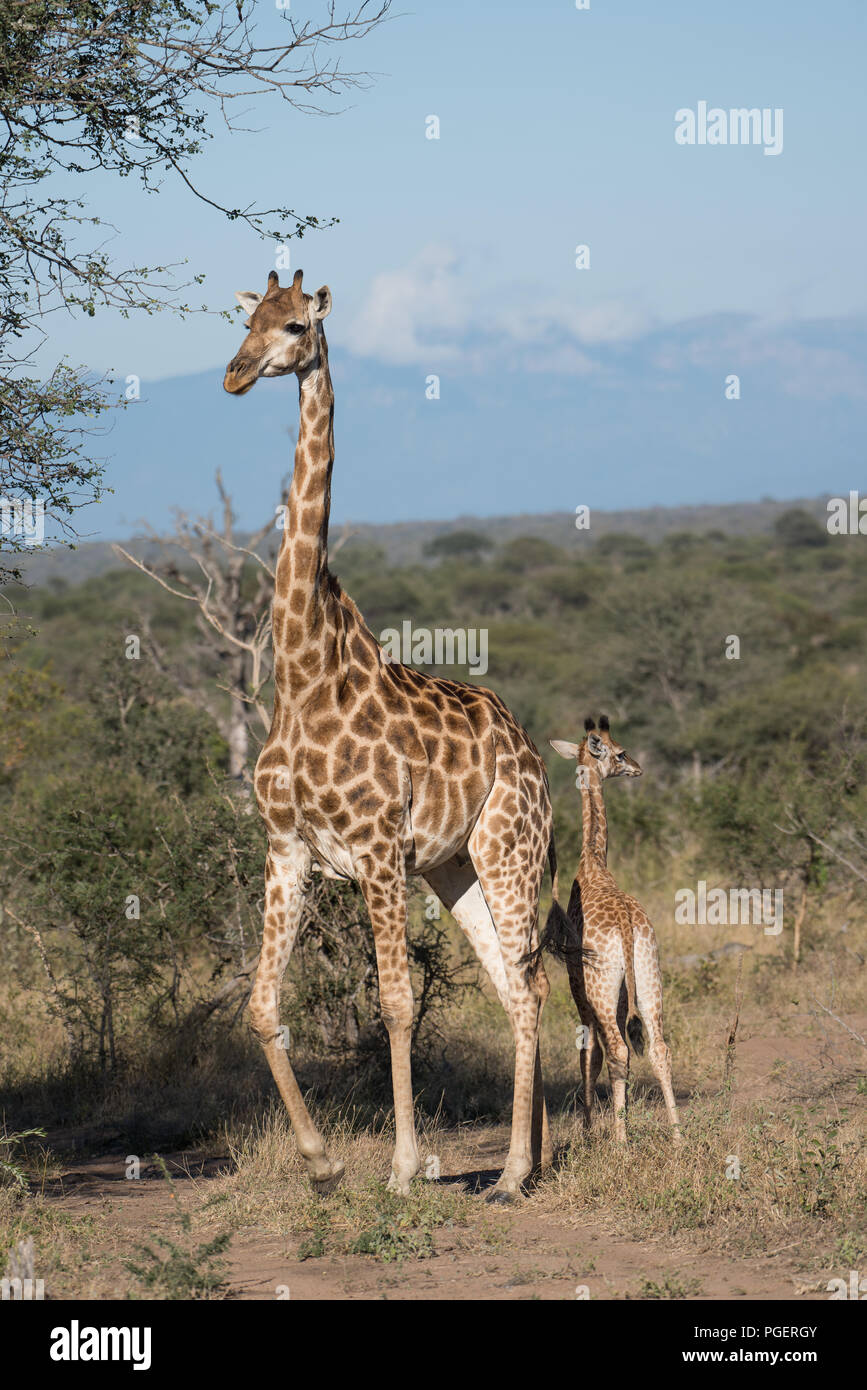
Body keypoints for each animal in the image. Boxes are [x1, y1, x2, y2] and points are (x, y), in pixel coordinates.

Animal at [223, 273, 555, 1206]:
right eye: (244, 321)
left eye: (294, 327)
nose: (234, 375)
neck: (302, 672)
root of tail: (528, 749)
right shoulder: (288, 848)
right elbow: (261, 1005)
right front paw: (323, 1162)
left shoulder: (375, 853)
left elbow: (398, 1004)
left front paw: (404, 1169)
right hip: (454, 867)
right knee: (514, 988)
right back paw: (522, 1165)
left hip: (509, 851)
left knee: (529, 981)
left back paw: (515, 1172)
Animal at [544, 717, 680, 1139]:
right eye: (620, 753)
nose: (637, 768)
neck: (594, 862)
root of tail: (626, 924)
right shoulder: (621, 993)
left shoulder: (579, 985)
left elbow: (589, 1050)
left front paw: (590, 1129)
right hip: (648, 975)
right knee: (658, 1047)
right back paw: (677, 1136)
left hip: (602, 984)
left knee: (616, 1048)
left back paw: (619, 1141)